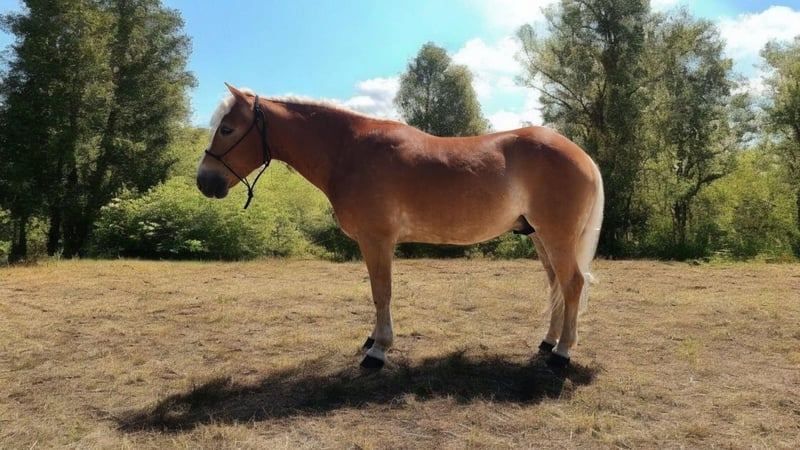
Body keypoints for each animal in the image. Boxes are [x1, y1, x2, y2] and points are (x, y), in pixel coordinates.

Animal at [197, 83, 604, 371]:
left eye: (228, 129)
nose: (204, 181)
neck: (349, 151)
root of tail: (582, 155)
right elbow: (378, 294)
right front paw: (372, 340)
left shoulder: (376, 240)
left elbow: (381, 293)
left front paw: (378, 351)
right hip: (541, 239)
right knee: (556, 285)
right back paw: (548, 342)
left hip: (557, 237)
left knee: (572, 284)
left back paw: (562, 353)